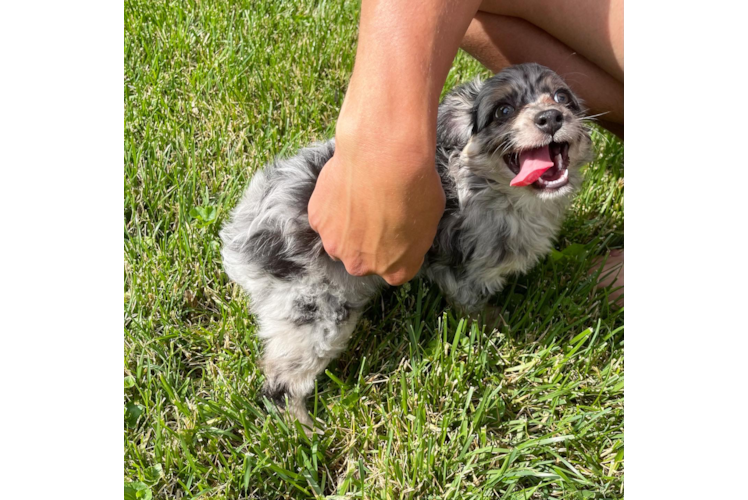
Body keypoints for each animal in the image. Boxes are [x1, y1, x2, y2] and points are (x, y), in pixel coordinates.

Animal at [219, 62, 592, 430]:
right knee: (280, 385)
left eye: (562, 97)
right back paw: (304, 430)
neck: (497, 192)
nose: (551, 117)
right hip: (316, 311)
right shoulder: (456, 268)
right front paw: (493, 323)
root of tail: (242, 231)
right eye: (503, 111)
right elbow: (471, 303)